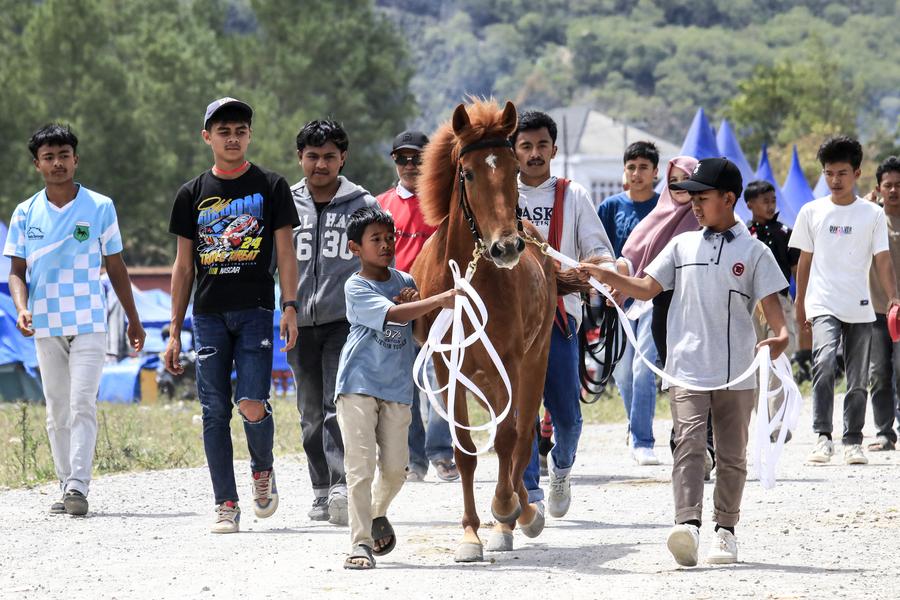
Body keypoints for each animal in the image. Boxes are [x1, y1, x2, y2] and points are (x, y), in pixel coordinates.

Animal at [412, 99, 560, 562]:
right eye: (469, 173)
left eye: (514, 169)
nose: (506, 247)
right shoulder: (449, 368)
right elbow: (466, 450)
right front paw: (470, 535)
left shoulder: (510, 360)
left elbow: (509, 438)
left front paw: (504, 510)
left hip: (535, 362)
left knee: (523, 437)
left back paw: (518, 514)